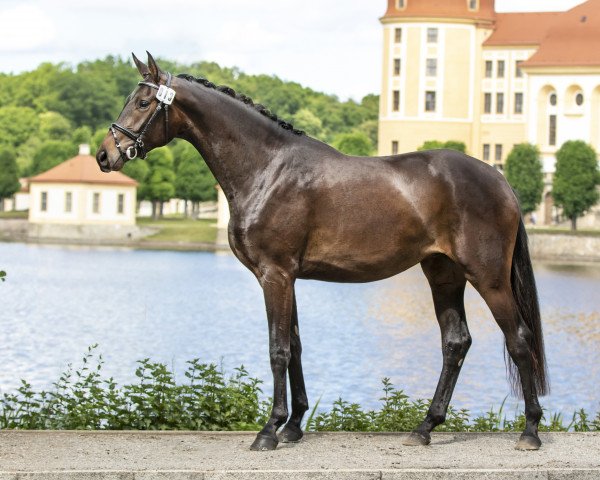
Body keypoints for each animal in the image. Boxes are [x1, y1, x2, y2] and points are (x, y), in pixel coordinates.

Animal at [97, 52, 548, 450]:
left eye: (142, 102)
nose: (106, 154)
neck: (268, 169)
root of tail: (499, 179)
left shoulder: (275, 275)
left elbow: (277, 349)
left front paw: (269, 430)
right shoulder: (287, 277)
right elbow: (295, 346)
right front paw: (294, 425)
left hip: (488, 277)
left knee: (519, 339)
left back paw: (529, 431)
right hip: (443, 274)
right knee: (455, 343)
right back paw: (424, 428)